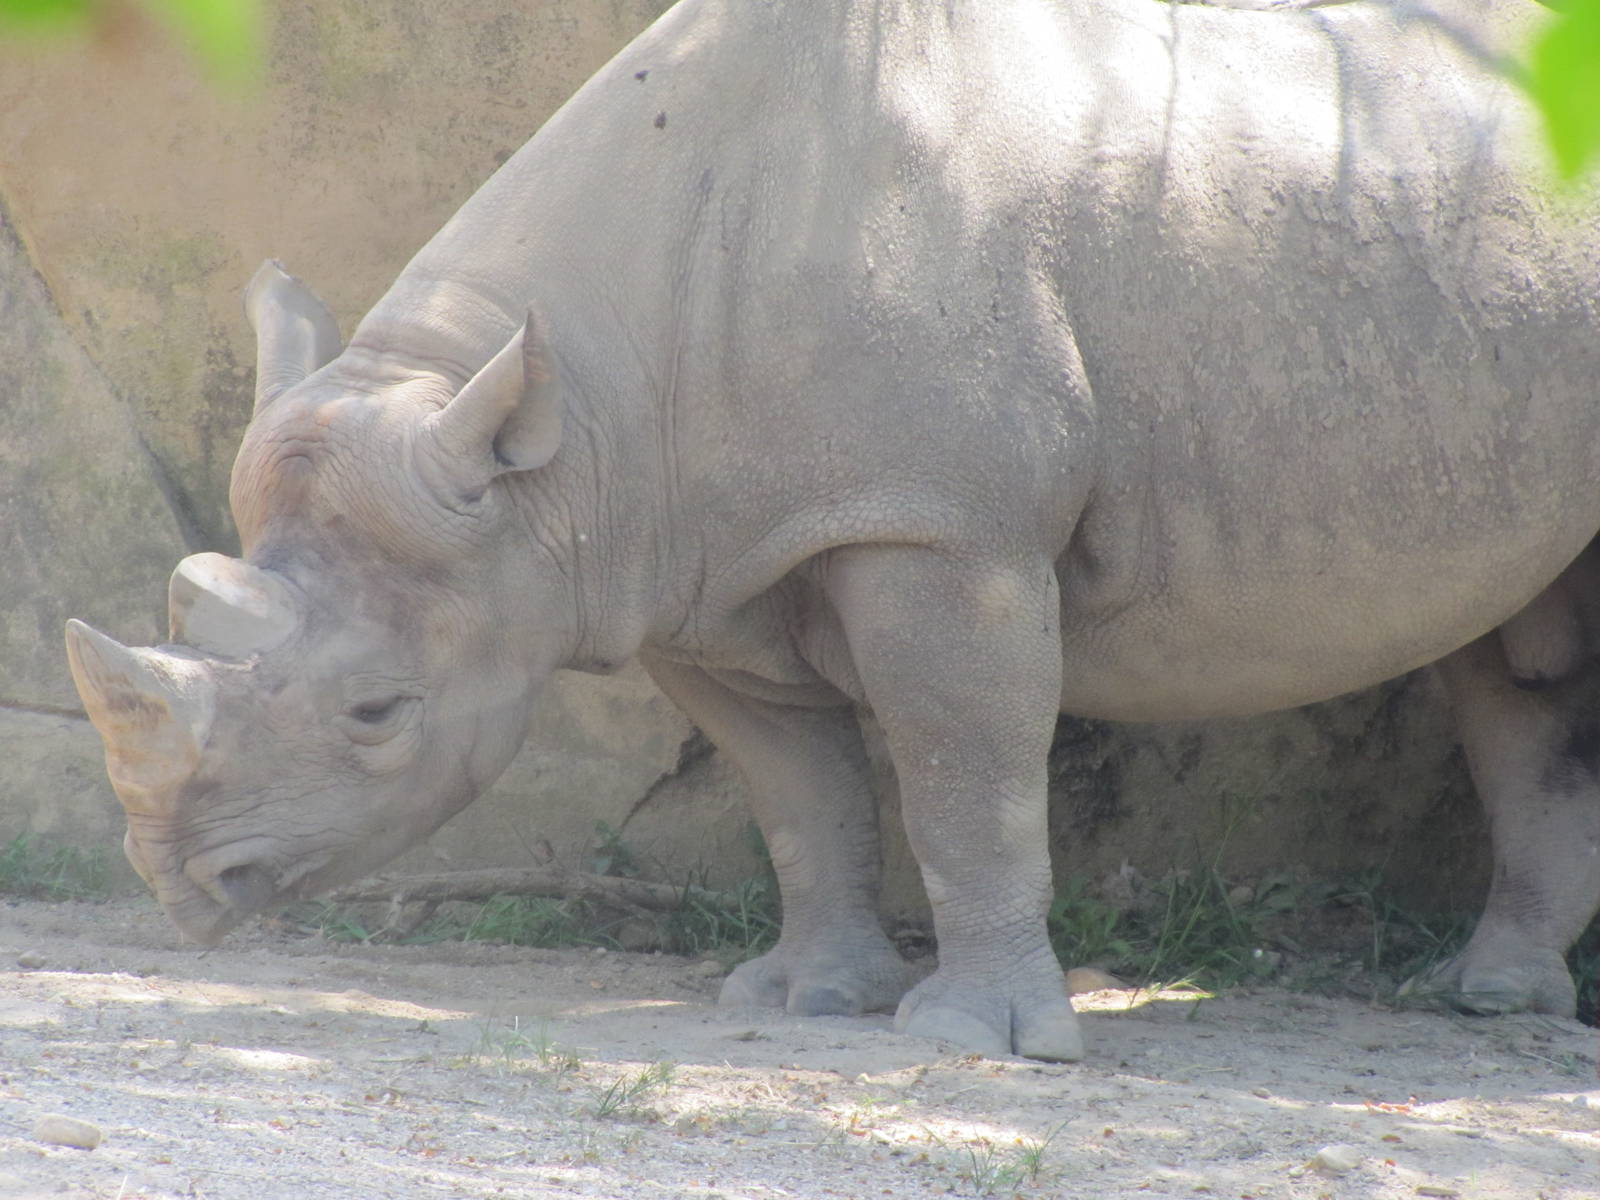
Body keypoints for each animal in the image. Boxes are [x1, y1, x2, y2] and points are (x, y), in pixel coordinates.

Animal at [64, 0, 1600, 1062]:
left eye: (380, 713)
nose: (178, 884)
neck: (555, 454)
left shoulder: (940, 527)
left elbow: (960, 772)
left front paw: (973, 1041)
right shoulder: (687, 561)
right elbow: (796, 790)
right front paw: (806, 998)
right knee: (1518, 664)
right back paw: (1488, 1003)